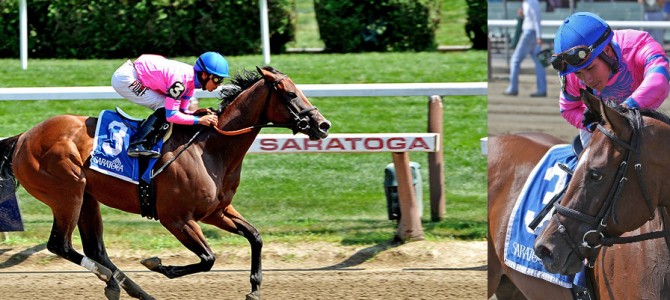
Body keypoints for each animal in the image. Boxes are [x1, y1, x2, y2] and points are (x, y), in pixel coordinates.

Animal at [0, 66, 330, 300]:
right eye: (290, 94)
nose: (323, 125)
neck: (210, 148)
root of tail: (23, 137)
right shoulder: (176, 218)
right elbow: (208, 258)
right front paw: (159, 265)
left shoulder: (216, 212)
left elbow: (255, 236)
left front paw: (255, 288)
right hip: (67, 193)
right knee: (60, 244)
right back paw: (112, 281)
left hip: (87, 198)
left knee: (95, 249)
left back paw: (132, 290)